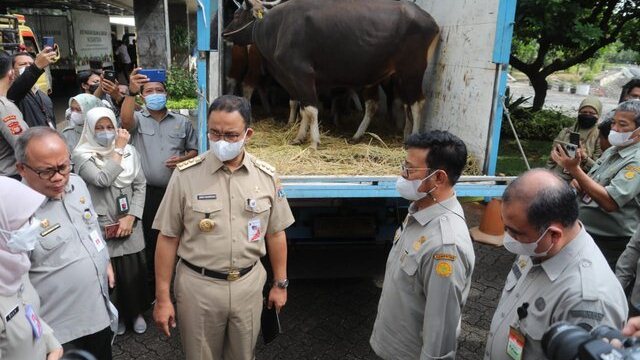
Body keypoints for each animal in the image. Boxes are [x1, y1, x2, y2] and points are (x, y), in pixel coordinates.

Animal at [222, 0, 438, 149]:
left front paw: (314, 142)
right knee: (398, 104)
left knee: (417, 103)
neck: (278, 28)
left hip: (412, 71)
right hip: (397, 76)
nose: (223, 34)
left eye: (237, 16)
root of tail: (430, 21)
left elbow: (311, 109)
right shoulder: (293, 79)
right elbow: (303, 109)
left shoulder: (302, 75)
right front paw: (299, 137)